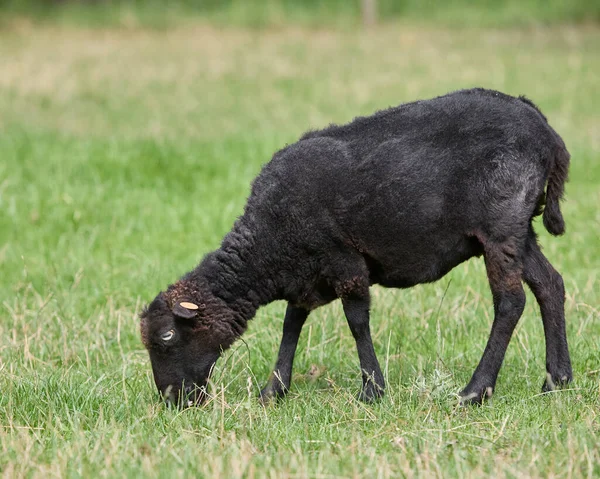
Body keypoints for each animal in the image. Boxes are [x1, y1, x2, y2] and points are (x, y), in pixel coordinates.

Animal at [139, 88, 572, 406]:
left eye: (168, 336)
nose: (173, 401)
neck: (268, 247)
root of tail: (543, 128)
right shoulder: (306, 273)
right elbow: (292, 323)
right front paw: (274, 390)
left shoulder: (343, 260)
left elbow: (356, 320)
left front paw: (372, 390)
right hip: (520, 229)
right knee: (550, 285)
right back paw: (557, 381)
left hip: (500, 225)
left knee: (510, 302)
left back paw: (475, 391)